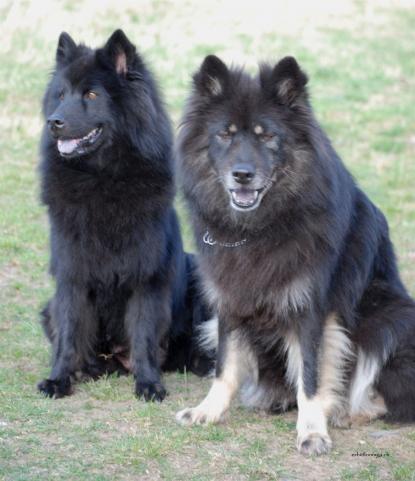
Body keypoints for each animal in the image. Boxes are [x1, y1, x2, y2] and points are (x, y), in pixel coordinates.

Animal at [37, 31, 213, 402]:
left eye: (91, 94)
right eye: (61, 95)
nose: (53, 122)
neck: (101, 178)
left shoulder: (146, 277)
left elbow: (144, 335)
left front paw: (148, 383)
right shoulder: (72, 276)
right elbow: (68, 333)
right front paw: (59, 379)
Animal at [176, 54, 415, 452]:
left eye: (267, 136)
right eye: (225, 134)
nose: (243, 174)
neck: (257, 230)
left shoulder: (312, 311)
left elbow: (311, 376)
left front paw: (313, 429)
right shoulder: (229, 300)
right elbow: (226, 365)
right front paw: (208, 410)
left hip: (390, 319)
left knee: (386, 394)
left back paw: (347, 412)